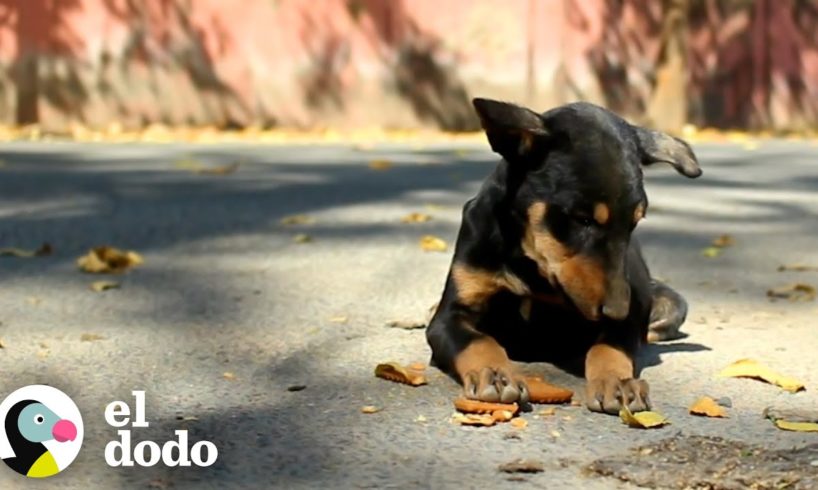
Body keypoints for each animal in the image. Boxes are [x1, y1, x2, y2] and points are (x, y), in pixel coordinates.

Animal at [424, 98, 700, 414]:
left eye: (635, 222)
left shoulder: (626, 319)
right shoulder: (450, 316)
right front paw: (494, 373)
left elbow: (607, 347)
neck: (529, 265)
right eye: (582, 219)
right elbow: (477, 340)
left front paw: (617, 382)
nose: (619, 311)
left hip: (670, 302)